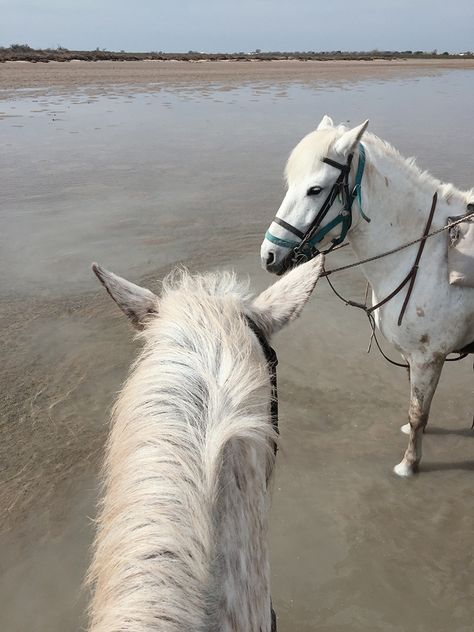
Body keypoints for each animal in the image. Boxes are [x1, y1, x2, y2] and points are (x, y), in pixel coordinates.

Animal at [262, 116, 472, 476]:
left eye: (315, 189)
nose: (269, 255)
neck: (424, 254)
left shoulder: (427, 357)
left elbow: (418, 413)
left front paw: (408, 464)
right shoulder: (415, 360)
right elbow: (417, 409)